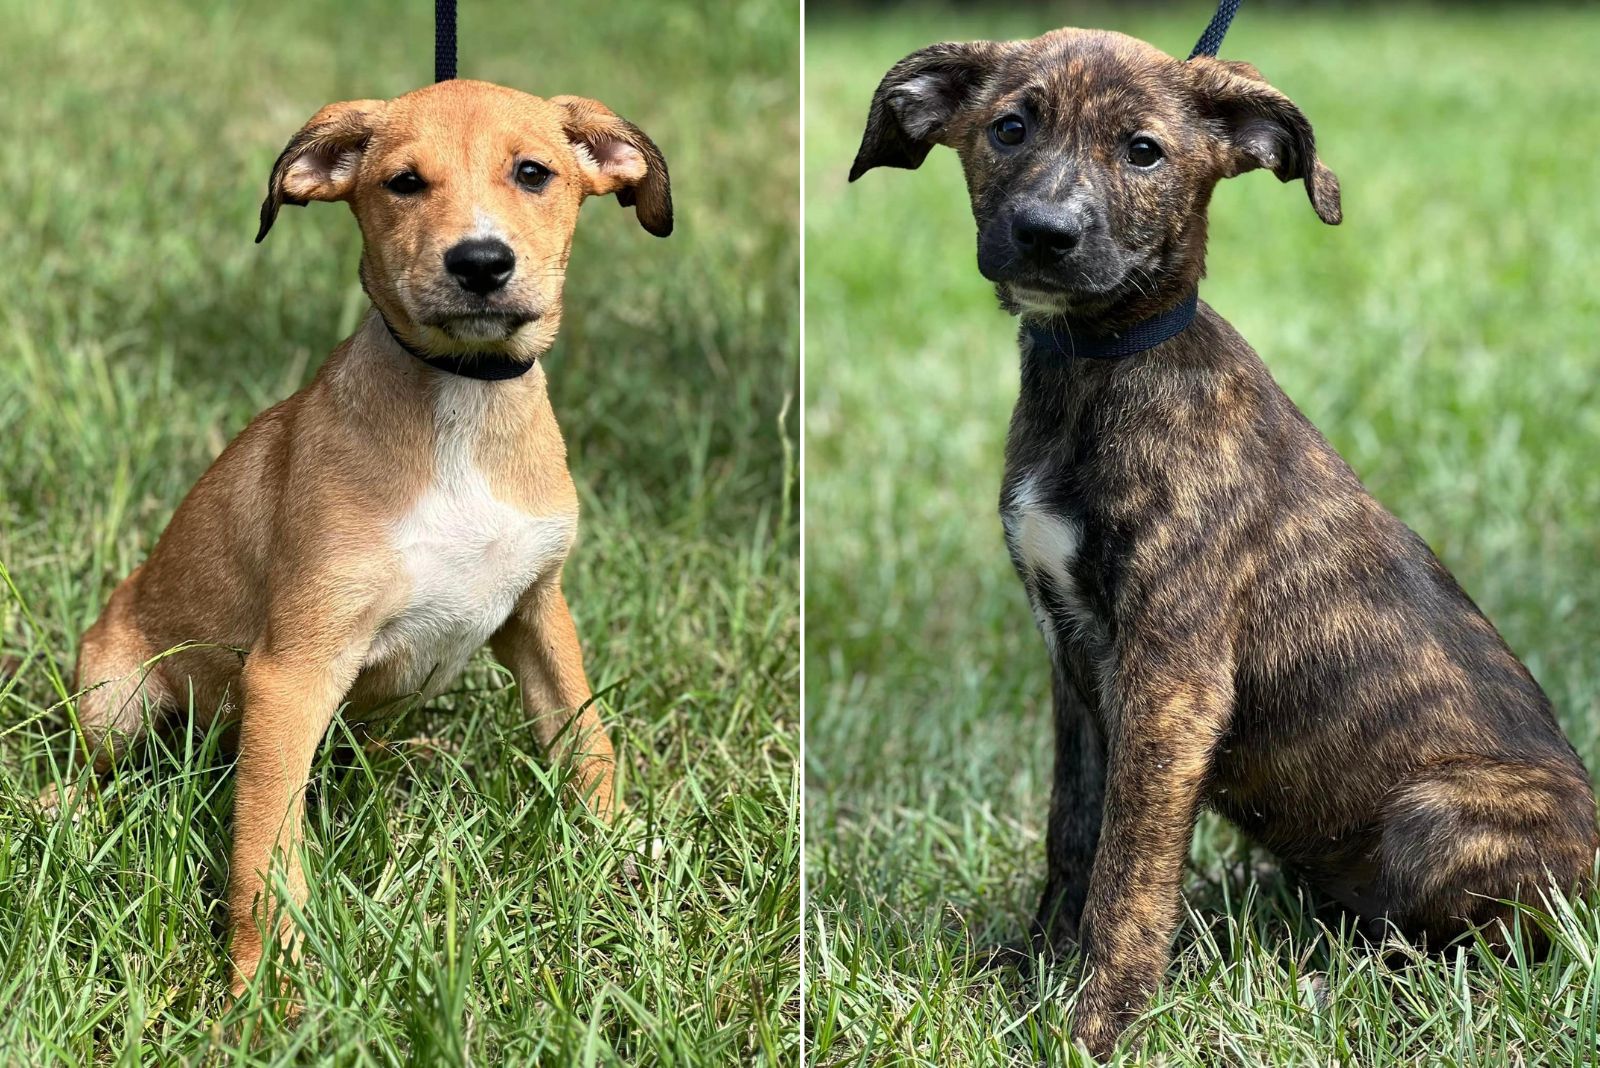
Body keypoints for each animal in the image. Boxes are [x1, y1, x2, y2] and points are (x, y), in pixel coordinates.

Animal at [65, 79, 668, 997]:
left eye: (533, 172)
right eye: (403, 183)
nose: (480, 264)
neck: (463, 403)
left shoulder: (538, 608)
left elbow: (585, 737)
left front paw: (619, 850)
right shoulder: (293, 670)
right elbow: (264, 849)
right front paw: (267, 985)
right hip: (117, 695)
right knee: (107, 771)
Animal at [851, 27, 1600, 1061]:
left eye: (1143, 152)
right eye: (1009, 128)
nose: (1045, 232)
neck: (1100, 367)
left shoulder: (1174, 678)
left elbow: (1129, 877)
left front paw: (1097, 1024)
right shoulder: (1075, 665)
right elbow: (1073, 833)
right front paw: (1032, 968)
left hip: (1437, 815)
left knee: (1479, 958)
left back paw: (1350, 990)